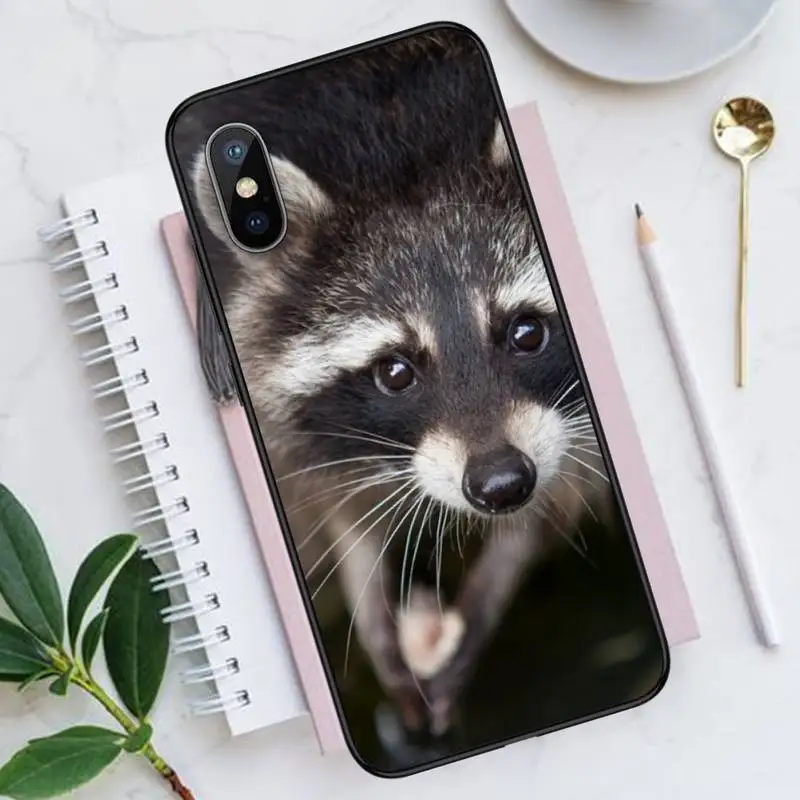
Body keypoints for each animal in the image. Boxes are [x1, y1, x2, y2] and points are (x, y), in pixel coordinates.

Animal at [175, 29, 610, 734]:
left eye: (526, 333)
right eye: (396, 371)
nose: (501, 485)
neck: (396, 141)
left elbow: (566, 485)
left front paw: (502, 570)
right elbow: (326, 496)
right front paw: (365, 583)